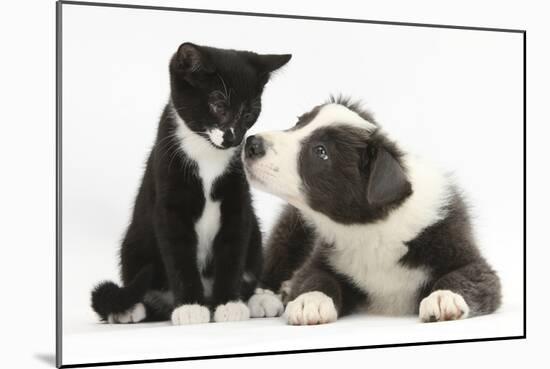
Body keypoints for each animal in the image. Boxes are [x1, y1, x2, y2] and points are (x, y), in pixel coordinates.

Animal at [89, 43, 294, 324]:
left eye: (250, 113)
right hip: (134, 244)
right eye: (218, 105)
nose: (233, 138)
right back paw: (130, 310)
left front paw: (229, 303)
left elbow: (232, 252)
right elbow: (179, 255)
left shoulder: (237, 203)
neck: (206, 153)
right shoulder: (169, 203)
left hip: (254, 235)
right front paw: (190, 307)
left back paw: (258, 299)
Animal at [244, 98, 502, 324]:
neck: (370, 228)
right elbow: (314, 277)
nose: (251, 143)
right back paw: (266, 298)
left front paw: (443, 297)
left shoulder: (464, 253)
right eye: (298, 122)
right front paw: (311, 300)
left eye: (321, 151)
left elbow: (466, 276)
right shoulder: (321, 256)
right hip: (288, 231)